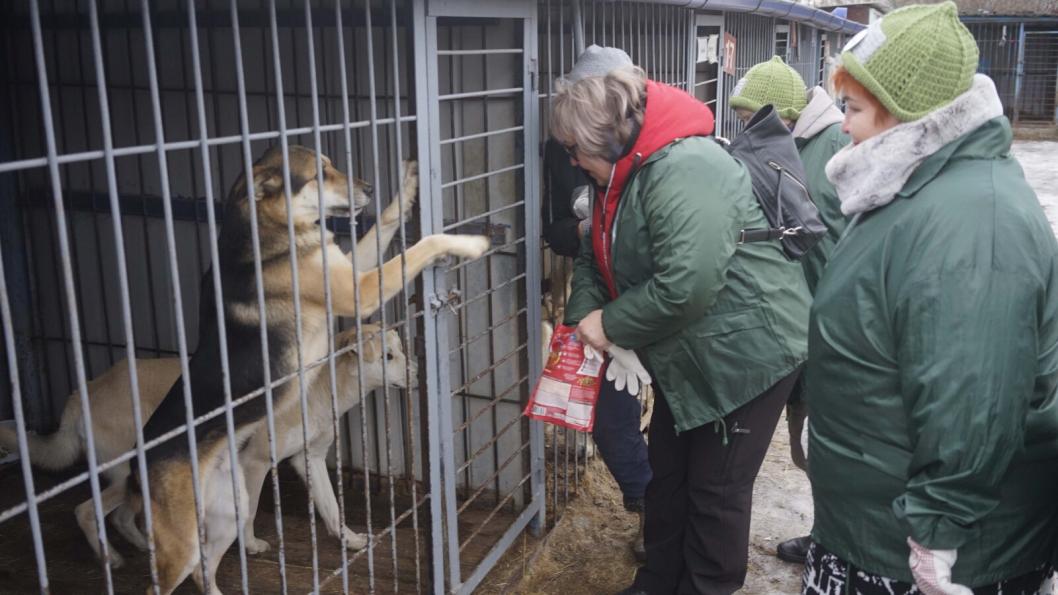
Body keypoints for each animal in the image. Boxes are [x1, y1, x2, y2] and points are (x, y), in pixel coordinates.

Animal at [133, 145, 490, 592]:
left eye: (333, 163)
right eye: (320, 174)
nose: (369, 188)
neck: (275, 231)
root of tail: (139, 458)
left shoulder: (312, 455)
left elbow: (333, 509)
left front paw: (407, 186)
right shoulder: (358, 292)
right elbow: (423, 245)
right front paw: (469, 243)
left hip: (225, 509)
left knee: (204, 567)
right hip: (187, 537)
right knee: (166, 576)